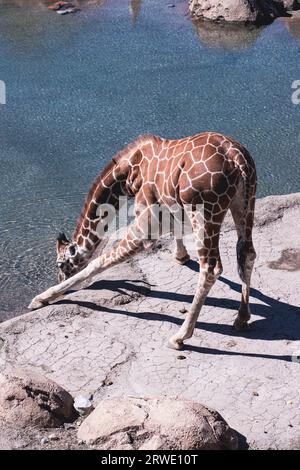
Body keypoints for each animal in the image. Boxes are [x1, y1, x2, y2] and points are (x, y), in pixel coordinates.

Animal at [28, 131, 258, 348]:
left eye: (60, 264)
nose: (59, 280)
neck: (128, 175)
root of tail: (237, 158)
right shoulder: (170, 211)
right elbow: (177, 232)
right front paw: (181, 256)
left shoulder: (146, 223)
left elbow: (99, 262)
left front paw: (42, 298)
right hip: (244, 201)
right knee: (247, 253)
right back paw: (241, 319)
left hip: (204, 211)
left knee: (211, 267)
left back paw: (180, 336)